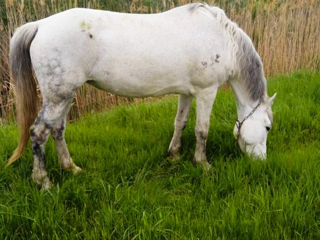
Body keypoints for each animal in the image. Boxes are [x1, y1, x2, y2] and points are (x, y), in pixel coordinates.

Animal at [6, 2, 276, 188]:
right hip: (57, 97)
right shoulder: (206, 91)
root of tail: (40, 25)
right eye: (268, 127)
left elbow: (180, 122)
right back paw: (44, 182)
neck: (223, 40)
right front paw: (203, 164)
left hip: (64, 96)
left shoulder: (188, 92)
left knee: (58, 130)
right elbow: (202, 130)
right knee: (39, 132)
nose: (262, 163)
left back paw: (71, 168)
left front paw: (174, 154)